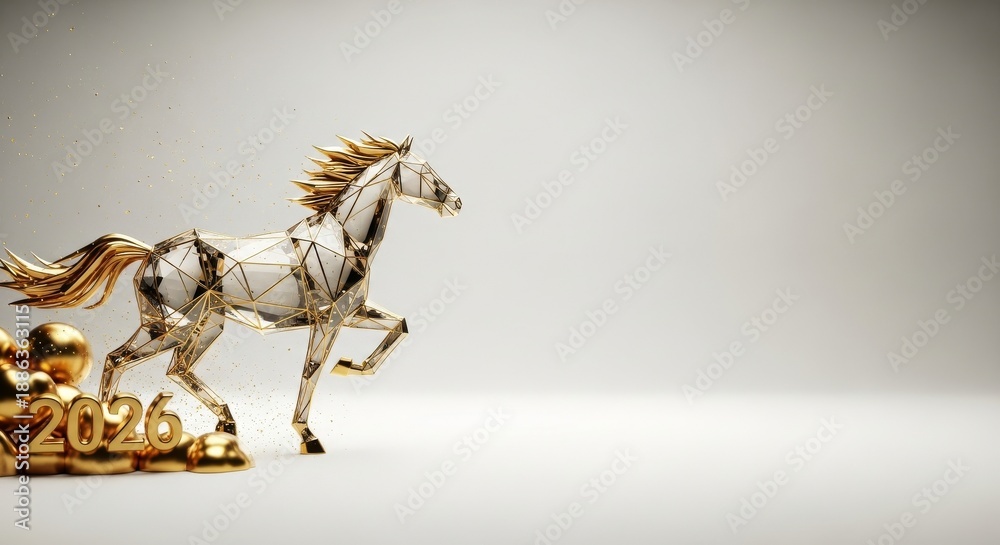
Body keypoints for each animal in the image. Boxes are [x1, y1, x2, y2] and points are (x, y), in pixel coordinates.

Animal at [0, 134, 461, 454]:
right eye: (424, 171)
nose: (456, 202)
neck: (343, 238)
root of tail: (148, 252)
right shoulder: (329, 320)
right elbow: (310, 372)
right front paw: (308, 436)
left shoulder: (355, 310)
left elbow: (400, 326)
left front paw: (350, 368)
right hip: (172, 324)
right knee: (127, 361)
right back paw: (106, 435)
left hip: (199, 326)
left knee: (162, 367)